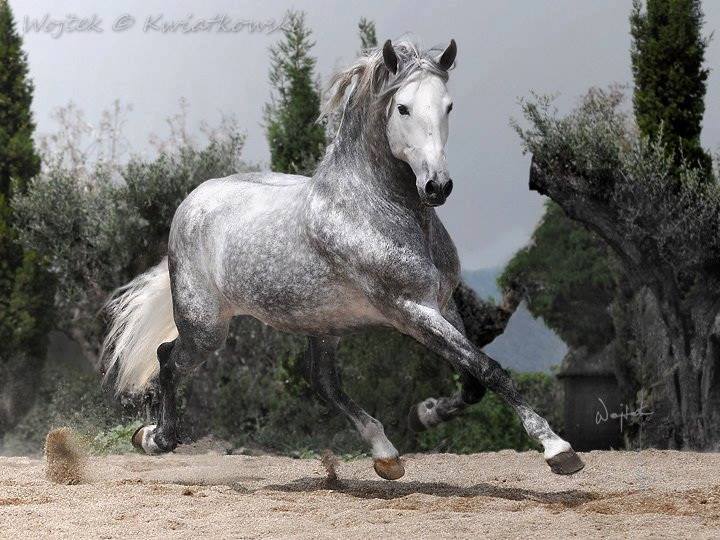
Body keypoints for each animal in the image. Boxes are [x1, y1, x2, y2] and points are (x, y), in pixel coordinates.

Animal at [102, 41, 584, 480]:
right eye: (403, 108)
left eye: (448, 105)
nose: (437, 186)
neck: (374, 208)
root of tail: (193, 200)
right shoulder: (410, 310)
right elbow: (489, 368)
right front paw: (557, 449)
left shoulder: (443, 305)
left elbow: (473, 380)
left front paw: (425, 413)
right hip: (206, 328)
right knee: (167, 358)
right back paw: (154, 438)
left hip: (322, 323)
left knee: (324, 383)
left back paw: (385, 455)